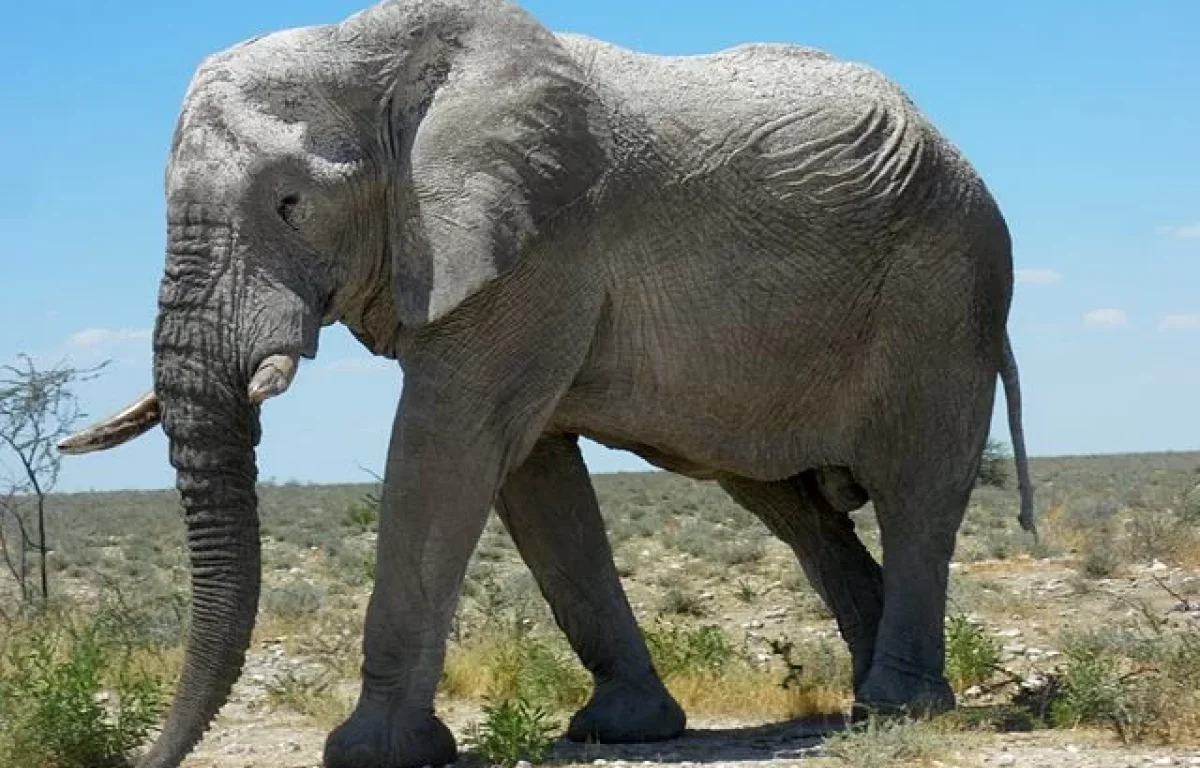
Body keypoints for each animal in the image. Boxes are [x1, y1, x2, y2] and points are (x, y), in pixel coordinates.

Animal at [58, 1, 1032, 768]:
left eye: (291, 204)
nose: (145, 757)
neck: (381, 55)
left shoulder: (539, 244)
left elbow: (449, 444)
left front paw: (372, 754)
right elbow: (532, 477)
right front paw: (623, 731)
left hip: (944, 297)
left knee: (916, 493)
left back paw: (898, 709)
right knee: (791, 509)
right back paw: (868, 698)